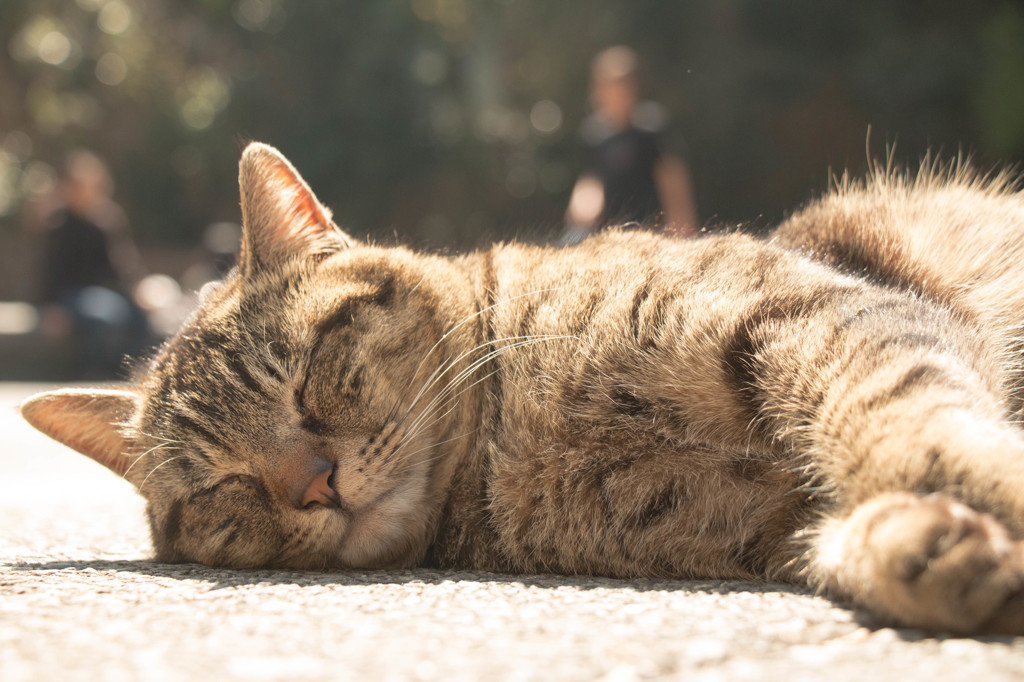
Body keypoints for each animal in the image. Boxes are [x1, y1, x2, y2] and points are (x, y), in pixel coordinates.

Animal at [19, 142, 1024, 630]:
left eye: (308, 377)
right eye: (222, 485)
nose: (315, 484)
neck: (517, 443)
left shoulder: (814, 314)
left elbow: (906, 418)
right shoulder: (763, 527)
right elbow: (837, 519)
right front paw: (920, 547)